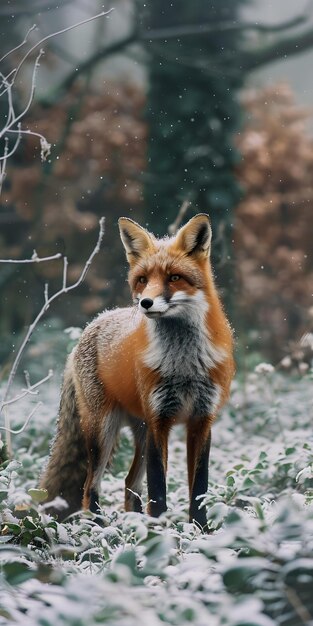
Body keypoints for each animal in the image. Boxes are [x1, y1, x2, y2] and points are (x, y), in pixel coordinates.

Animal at [40, 213, 233, 528]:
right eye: (142, 280)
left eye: (174, 278)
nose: (145, 303)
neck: (184, 365)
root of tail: (92, 324)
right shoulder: (158, 421)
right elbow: (158, 489)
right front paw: (162, 531)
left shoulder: (202, 420)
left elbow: (199, 489)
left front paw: (201, 530)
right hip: (103, 431)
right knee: (90, 486)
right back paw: (100, 528)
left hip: (138, 433)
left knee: (130, 483)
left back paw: (134, 524)